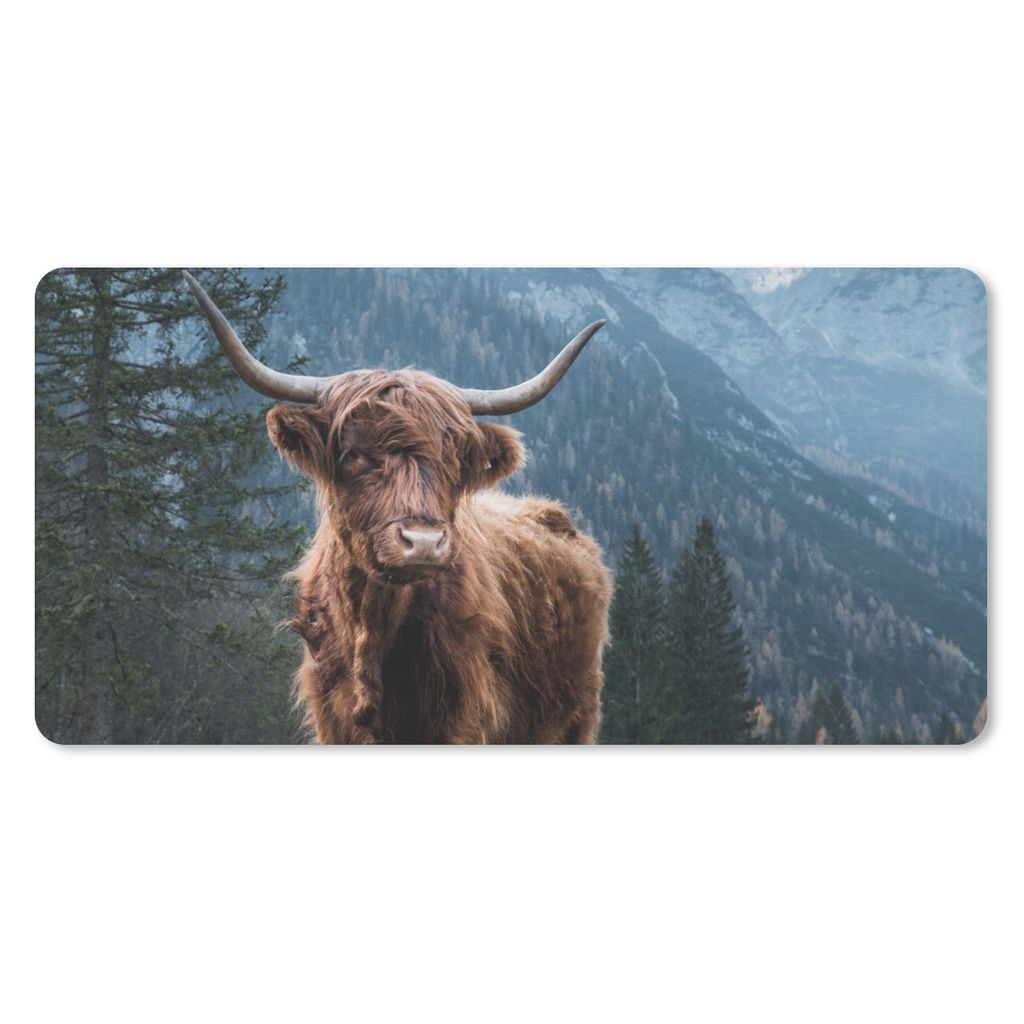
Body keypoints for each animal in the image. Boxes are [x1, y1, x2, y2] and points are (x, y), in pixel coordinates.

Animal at [184, 271, 611, 744]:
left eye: (453, 458)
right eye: (352, 453)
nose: (423, 542)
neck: (371, 628)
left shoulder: (460, 719)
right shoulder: (331, 720)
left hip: (575, 718)